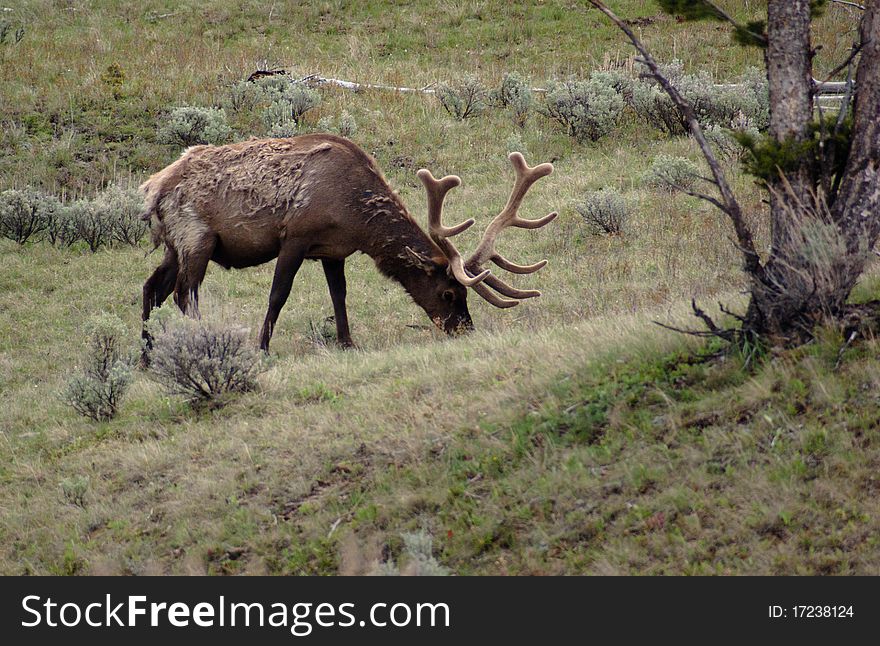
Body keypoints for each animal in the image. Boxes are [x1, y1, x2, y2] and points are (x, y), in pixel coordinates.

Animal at [141, 133, 556, 354]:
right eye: (449, 293)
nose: (464, 329)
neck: (355, 215)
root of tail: (150, 191)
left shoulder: (333, 250)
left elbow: (339, 296)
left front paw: (347, 342)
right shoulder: (296, 236)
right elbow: (278, 294)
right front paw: (263, 348)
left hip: (175, 245)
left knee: (151, 289)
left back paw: (147, 355)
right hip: (196, 237)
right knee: (183, 294)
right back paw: (199, 341)